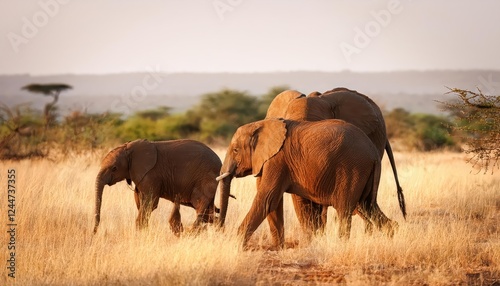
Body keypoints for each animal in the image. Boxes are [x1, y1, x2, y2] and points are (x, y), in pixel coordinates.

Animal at [93, 138, 229, 235]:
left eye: (114, 168)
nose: (94, 232)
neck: (129, 148)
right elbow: (140, 204)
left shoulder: (151, 174)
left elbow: (150, 204)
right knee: (207, 212)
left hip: (205, 178)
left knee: (200, 205)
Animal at [215, 118, 398, 248]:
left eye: (235, 150)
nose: (219, 229)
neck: (261, 124)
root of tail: (374, 152)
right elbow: (272, 201)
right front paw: (278, 247)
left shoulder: (277, 160)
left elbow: (267, 198)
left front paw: (235, 242)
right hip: (364, 173)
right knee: (367, 205)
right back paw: (392, 234)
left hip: (352, 169)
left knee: (345, 209)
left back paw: (340, 245)